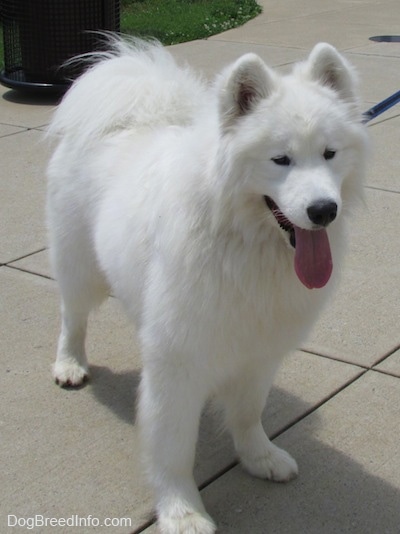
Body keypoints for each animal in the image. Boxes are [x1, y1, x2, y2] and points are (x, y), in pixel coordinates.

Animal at [47, 38, 368, 534]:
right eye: (281, 159)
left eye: (330, 153)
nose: (323, 210)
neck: (243, 244)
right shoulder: (176, 359)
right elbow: (173, 446)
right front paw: (182, 511)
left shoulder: (260, 351)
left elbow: (248, 412)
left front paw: (259, 457)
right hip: (81, 268)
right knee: (72, 315)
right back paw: (69, 363)